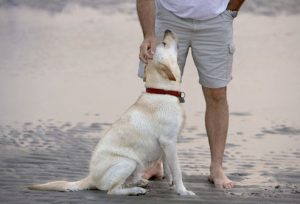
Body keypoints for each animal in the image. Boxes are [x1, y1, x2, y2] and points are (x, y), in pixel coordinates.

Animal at [28, 29, 195, 196]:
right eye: (164, 43)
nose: (168, 30)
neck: (162, 91)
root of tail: (90, 178)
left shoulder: (166, 144)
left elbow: (168, 168)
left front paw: (172, 185)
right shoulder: (169, 142)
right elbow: (177, 170)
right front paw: (183, 191)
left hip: (135, 166)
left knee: (125, 182)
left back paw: (139, 182)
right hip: (128, 162)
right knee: (112, 190)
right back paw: (136, 190)